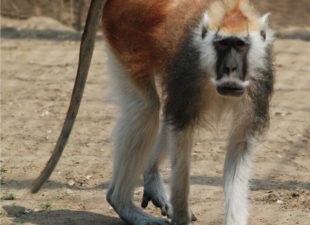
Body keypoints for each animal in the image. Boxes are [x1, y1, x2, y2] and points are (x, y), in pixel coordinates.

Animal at [31, 0, 274, 225]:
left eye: (240, 46)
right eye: (222, 44)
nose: (231, 68)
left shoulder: (258, 83)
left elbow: (239, 145)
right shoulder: (187, 72)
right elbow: (181, 132)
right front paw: (181, 216)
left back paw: (149, 176)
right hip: (123, 31)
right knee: (145, 108)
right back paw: (121, 202)